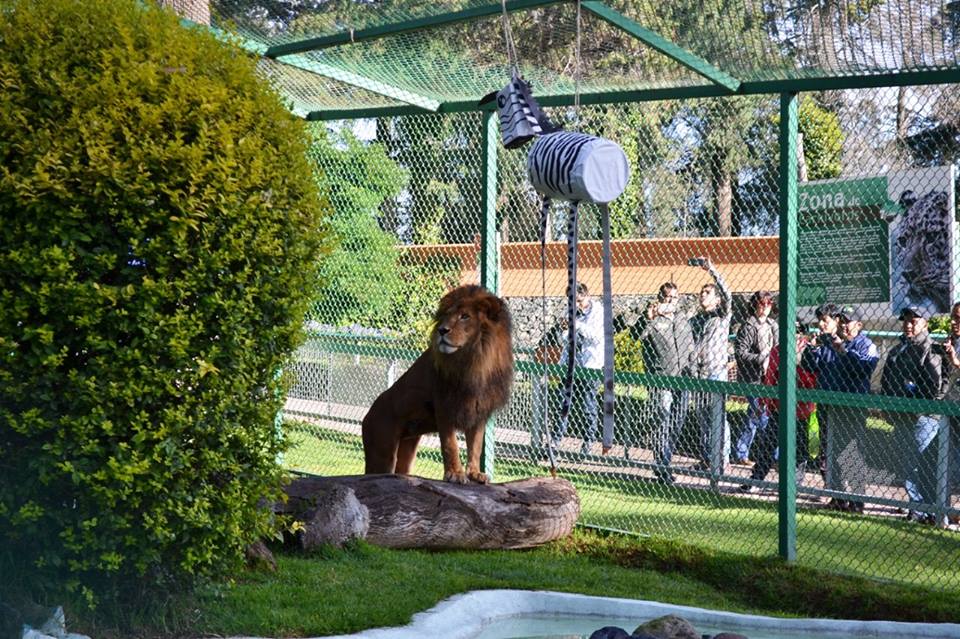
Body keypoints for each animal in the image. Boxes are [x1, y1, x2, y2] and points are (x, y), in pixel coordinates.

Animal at [360, 284, 512, 484]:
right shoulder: (444, 407)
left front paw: (474, 474)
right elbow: (450, 445)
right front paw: (455, 474)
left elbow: (476, 446)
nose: (441, 330)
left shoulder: (478, 411)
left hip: (407, 448)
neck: (474, 361)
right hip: (382, 451)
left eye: (465, 316)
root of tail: (367, 415)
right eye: (446, 315)